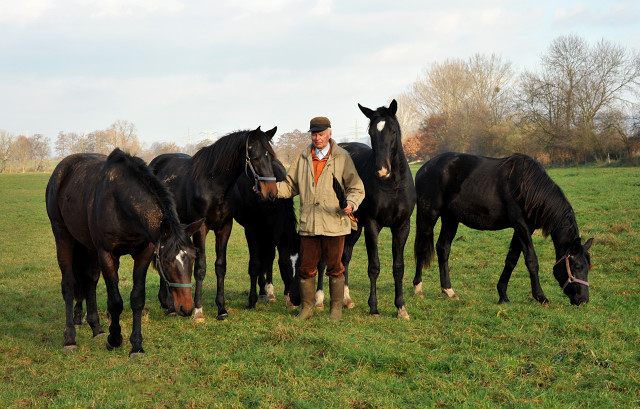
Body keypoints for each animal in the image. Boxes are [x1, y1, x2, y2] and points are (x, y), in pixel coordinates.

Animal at [46, 148, 201, 356]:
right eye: (167, 261)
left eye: (193, 257)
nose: (187, 308)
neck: (120, 201)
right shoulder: (107, 254)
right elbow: (115, 301)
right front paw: (114, 339)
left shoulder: (143, 254)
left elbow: (137, 298)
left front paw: (136, 345)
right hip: (63, 236)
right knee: (69, 284)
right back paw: (70, 338)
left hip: (88, 246)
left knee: (90, 281)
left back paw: (96, 328)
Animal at [151, 126, 282, 320]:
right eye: (255, 156)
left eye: (271, 156)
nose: (271, 192)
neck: (213, 185)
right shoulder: (201, 229)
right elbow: (200, 267)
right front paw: (198, 310)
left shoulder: (224, 228)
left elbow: (221, 266)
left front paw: (222, 309)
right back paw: (169, 304)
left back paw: (167, 303)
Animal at [231, 158, 298, 308]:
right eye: (287, 267)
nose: (294, 300)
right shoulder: (251, 230)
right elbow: (255, 263)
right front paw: (252, 300)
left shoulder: (272, 231)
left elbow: (269, 258)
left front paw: (269, 292)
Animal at [314, 100, 416, 318]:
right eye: (371, 132)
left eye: (393, 130)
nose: (382, 170)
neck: (392, 185)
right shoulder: (372, 225)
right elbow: (374, 266)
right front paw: (374, 307)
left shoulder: (402, 226)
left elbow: (398, 267)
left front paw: (401, 307)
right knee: (324, 260)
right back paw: (318, 299)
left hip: (353, 227)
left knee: (345, 258)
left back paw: (346, 299)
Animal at [412, 151, 592, 304]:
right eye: (577, 266)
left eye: (588, 267)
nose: (583, 300)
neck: (527, 187)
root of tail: (424, 168)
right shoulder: (521, 225)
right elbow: (531, 260)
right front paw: (540, 296)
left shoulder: (524, 229)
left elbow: (511, 259)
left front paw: (502, 295)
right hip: (429, 216)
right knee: (421, 248)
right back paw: (418, 289)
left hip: (450, 218)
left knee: (443, 248)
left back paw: (448, 291)